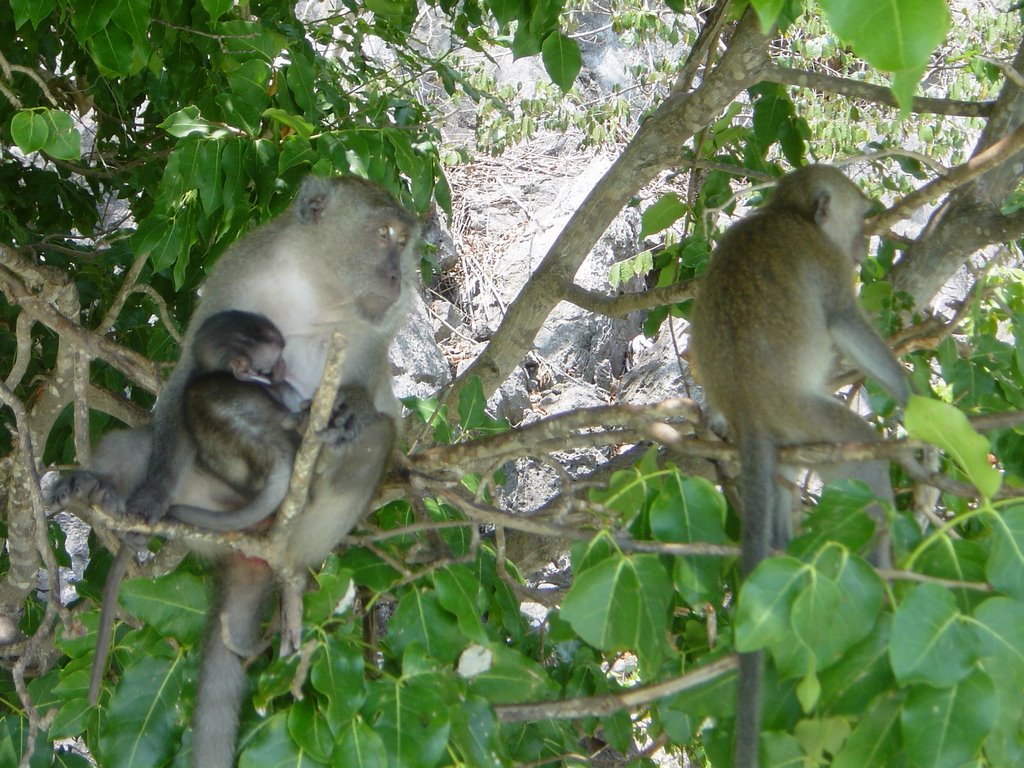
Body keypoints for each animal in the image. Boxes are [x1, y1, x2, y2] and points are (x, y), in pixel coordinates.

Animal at [688, 165, 913, 768]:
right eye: (860, 219)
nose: (861, 247)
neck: (785, 215)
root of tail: (749, 406)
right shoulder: (828, 265)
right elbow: (843, 320)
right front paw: (912, 396)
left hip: (788, 439)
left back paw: (783, 551)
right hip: (808, 420)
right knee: (863, 458)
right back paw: (881, 563)